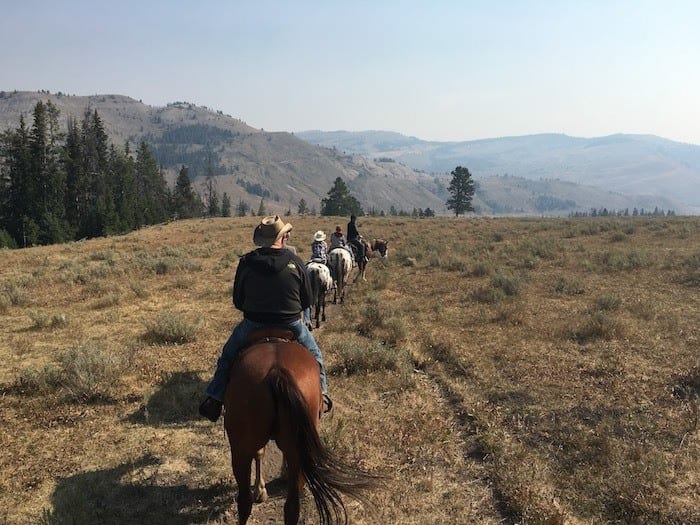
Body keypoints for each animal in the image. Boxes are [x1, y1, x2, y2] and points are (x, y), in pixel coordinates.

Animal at [224, 328, 378, 524]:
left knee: (245, 502)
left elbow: (260, 453)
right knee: (290, 507)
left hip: (241, 450)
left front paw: (261, 490)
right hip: (293, 451)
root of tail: (277, 372)